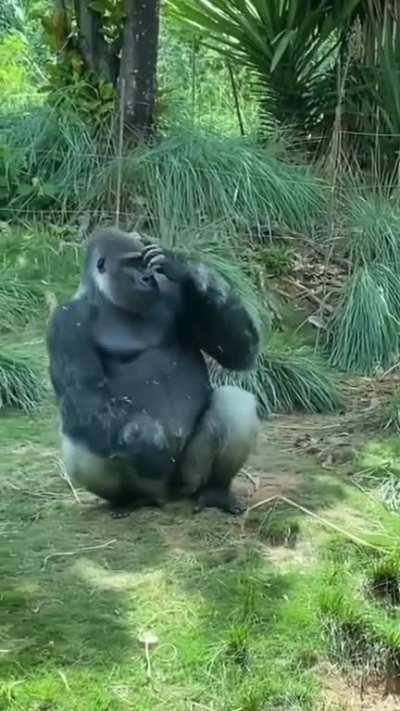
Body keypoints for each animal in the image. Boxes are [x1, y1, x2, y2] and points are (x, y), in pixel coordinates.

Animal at [47, 228, 260, 515]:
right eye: (131, 264)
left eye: (144, 263)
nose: (147, 278)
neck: (106, 300)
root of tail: (169, 496)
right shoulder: (65, 322)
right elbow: (86, 396)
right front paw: (149, 446)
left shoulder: (175, 293)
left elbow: (237, 351)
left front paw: (185, 268)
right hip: (149, 486)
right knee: (80, 436)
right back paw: (125, 500)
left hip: (189, 477)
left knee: (236, 402)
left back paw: (215, 491)